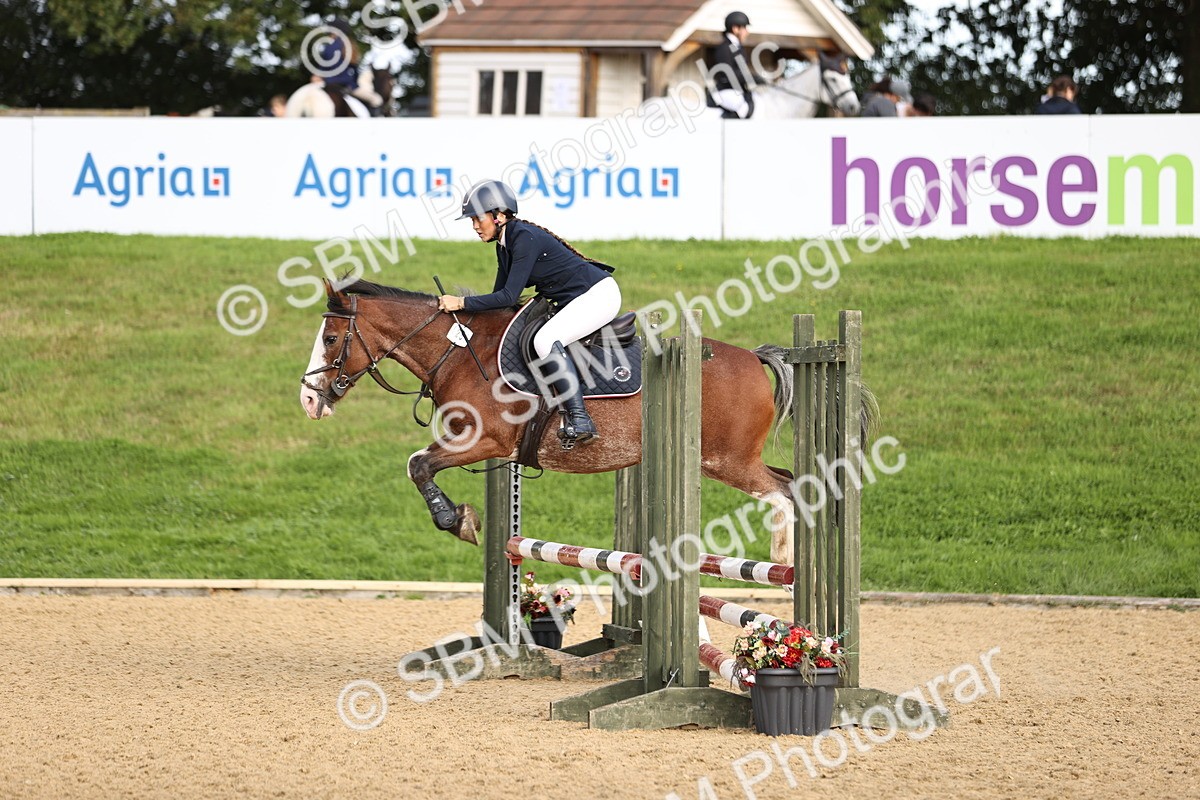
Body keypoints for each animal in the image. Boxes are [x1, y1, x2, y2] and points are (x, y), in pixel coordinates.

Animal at [298, 280, 855, 565]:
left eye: (330, 338)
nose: (308, 400)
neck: (459, 352)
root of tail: (754, 359)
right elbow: (420, 465)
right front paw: (462, 519)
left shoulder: (484, 440)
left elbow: (418, 465)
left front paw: (458, 522)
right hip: (726, 460)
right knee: (789, 482)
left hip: (726, 460)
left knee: (784, 492)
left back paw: (784, 561)